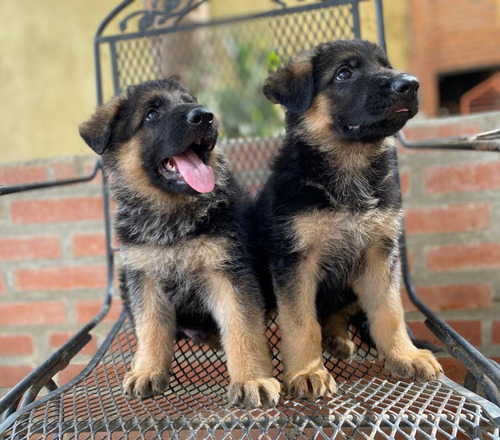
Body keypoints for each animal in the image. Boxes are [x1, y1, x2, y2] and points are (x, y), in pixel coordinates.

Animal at [80, 78, 280, 406]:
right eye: (151, 114)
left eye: (190, 102)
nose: (205, 116)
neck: (173, 218)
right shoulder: (144, 276)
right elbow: (150, 327)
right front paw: (147, 370)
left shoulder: (229, 271)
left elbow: (242, 326)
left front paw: (252, 378)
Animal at [258, 39, 442, 400]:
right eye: (344, 74)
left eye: (385, 66)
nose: (410, 84)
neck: (350, 167)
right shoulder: (295, 261)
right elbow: (300, 322)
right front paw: (307, 372)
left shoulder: (379, 254)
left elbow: (389, 311)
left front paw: (405, 355)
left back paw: (338, 338)